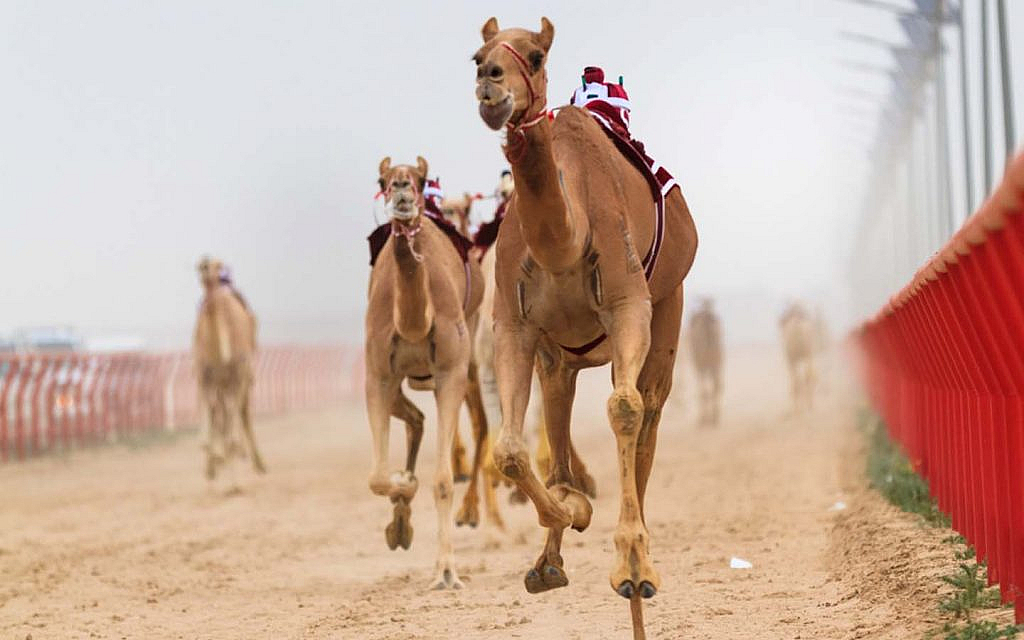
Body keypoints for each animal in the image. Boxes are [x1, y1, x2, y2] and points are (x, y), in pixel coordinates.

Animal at [191, 254, 264, 479]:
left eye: (218, 265)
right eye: (204, 266)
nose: (204, 263)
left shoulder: (238, 374)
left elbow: (230, 416)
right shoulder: (206, 376)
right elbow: (214, 418)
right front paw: (213, 460)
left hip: (239, 378)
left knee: (240, 413)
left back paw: (254, 461)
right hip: (221, 381)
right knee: (224, 415)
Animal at [364, 155, 487, 589]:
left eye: (419, 179)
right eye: (382, 180)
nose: (401, 187)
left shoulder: (450, 372)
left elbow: (444, 480)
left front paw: (447, 572)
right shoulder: (377, 375)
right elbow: (378, 477)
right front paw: (403, 485)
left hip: (468, 357)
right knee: (415, 419)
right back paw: (401, 517)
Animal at [468, 16, 696, 634]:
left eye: (536, 55)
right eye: (476, 55)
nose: (490, 85)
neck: (563, 243)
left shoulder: (629, 305)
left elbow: (624, 409)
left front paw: (632, 565)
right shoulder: (512, 326)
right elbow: (511, 450)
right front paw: (573, 511)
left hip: (668, 309)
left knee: (648, 417)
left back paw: (638, 573)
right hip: (559, 360)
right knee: (558, 425)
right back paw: (551, 554)